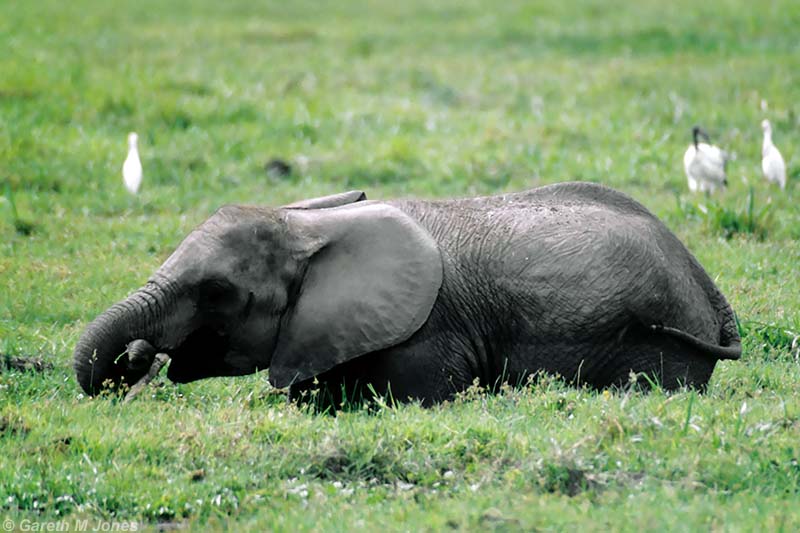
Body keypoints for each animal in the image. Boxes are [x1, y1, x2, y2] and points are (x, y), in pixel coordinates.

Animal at [72, 181, 740, 406]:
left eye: (217, 292)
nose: (134, 357)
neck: (308, 228)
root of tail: (707, 287)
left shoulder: (428, 332)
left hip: (648, 344)